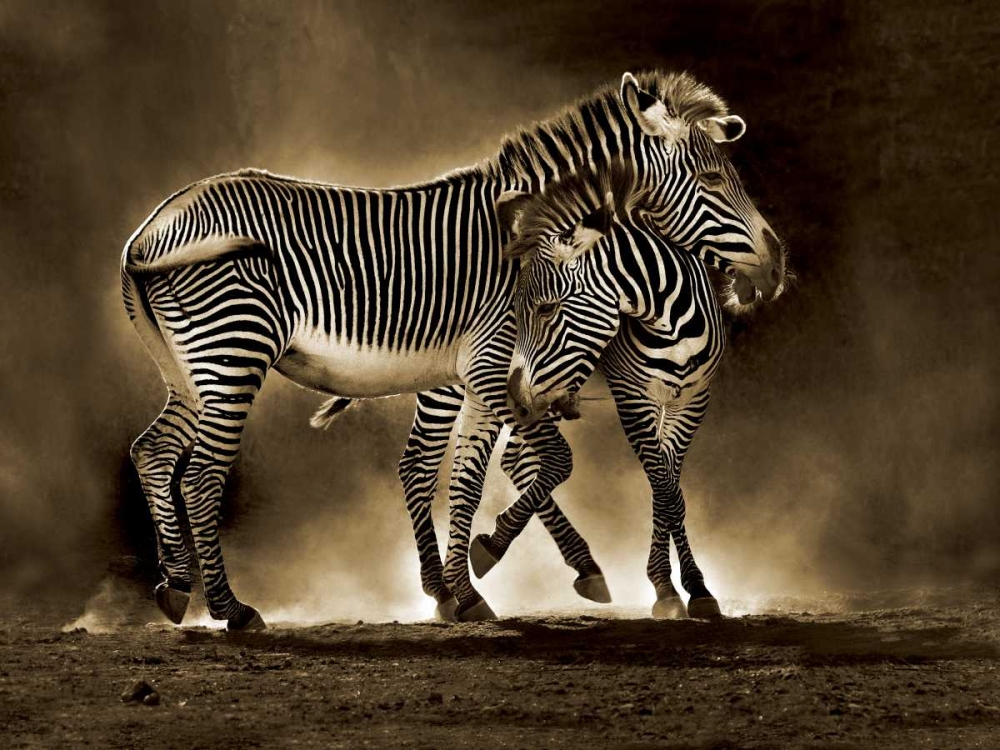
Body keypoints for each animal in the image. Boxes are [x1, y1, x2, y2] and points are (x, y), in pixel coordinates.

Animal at [499, 162, 772, 617]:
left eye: (547, 309)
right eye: (518, 312)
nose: (517, 399)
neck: (669, 319)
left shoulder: (692, 401)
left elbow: (670, 490)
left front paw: (694, 587)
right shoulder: (632, 399)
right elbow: (664, 487)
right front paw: (666, 588)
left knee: (513, 459)